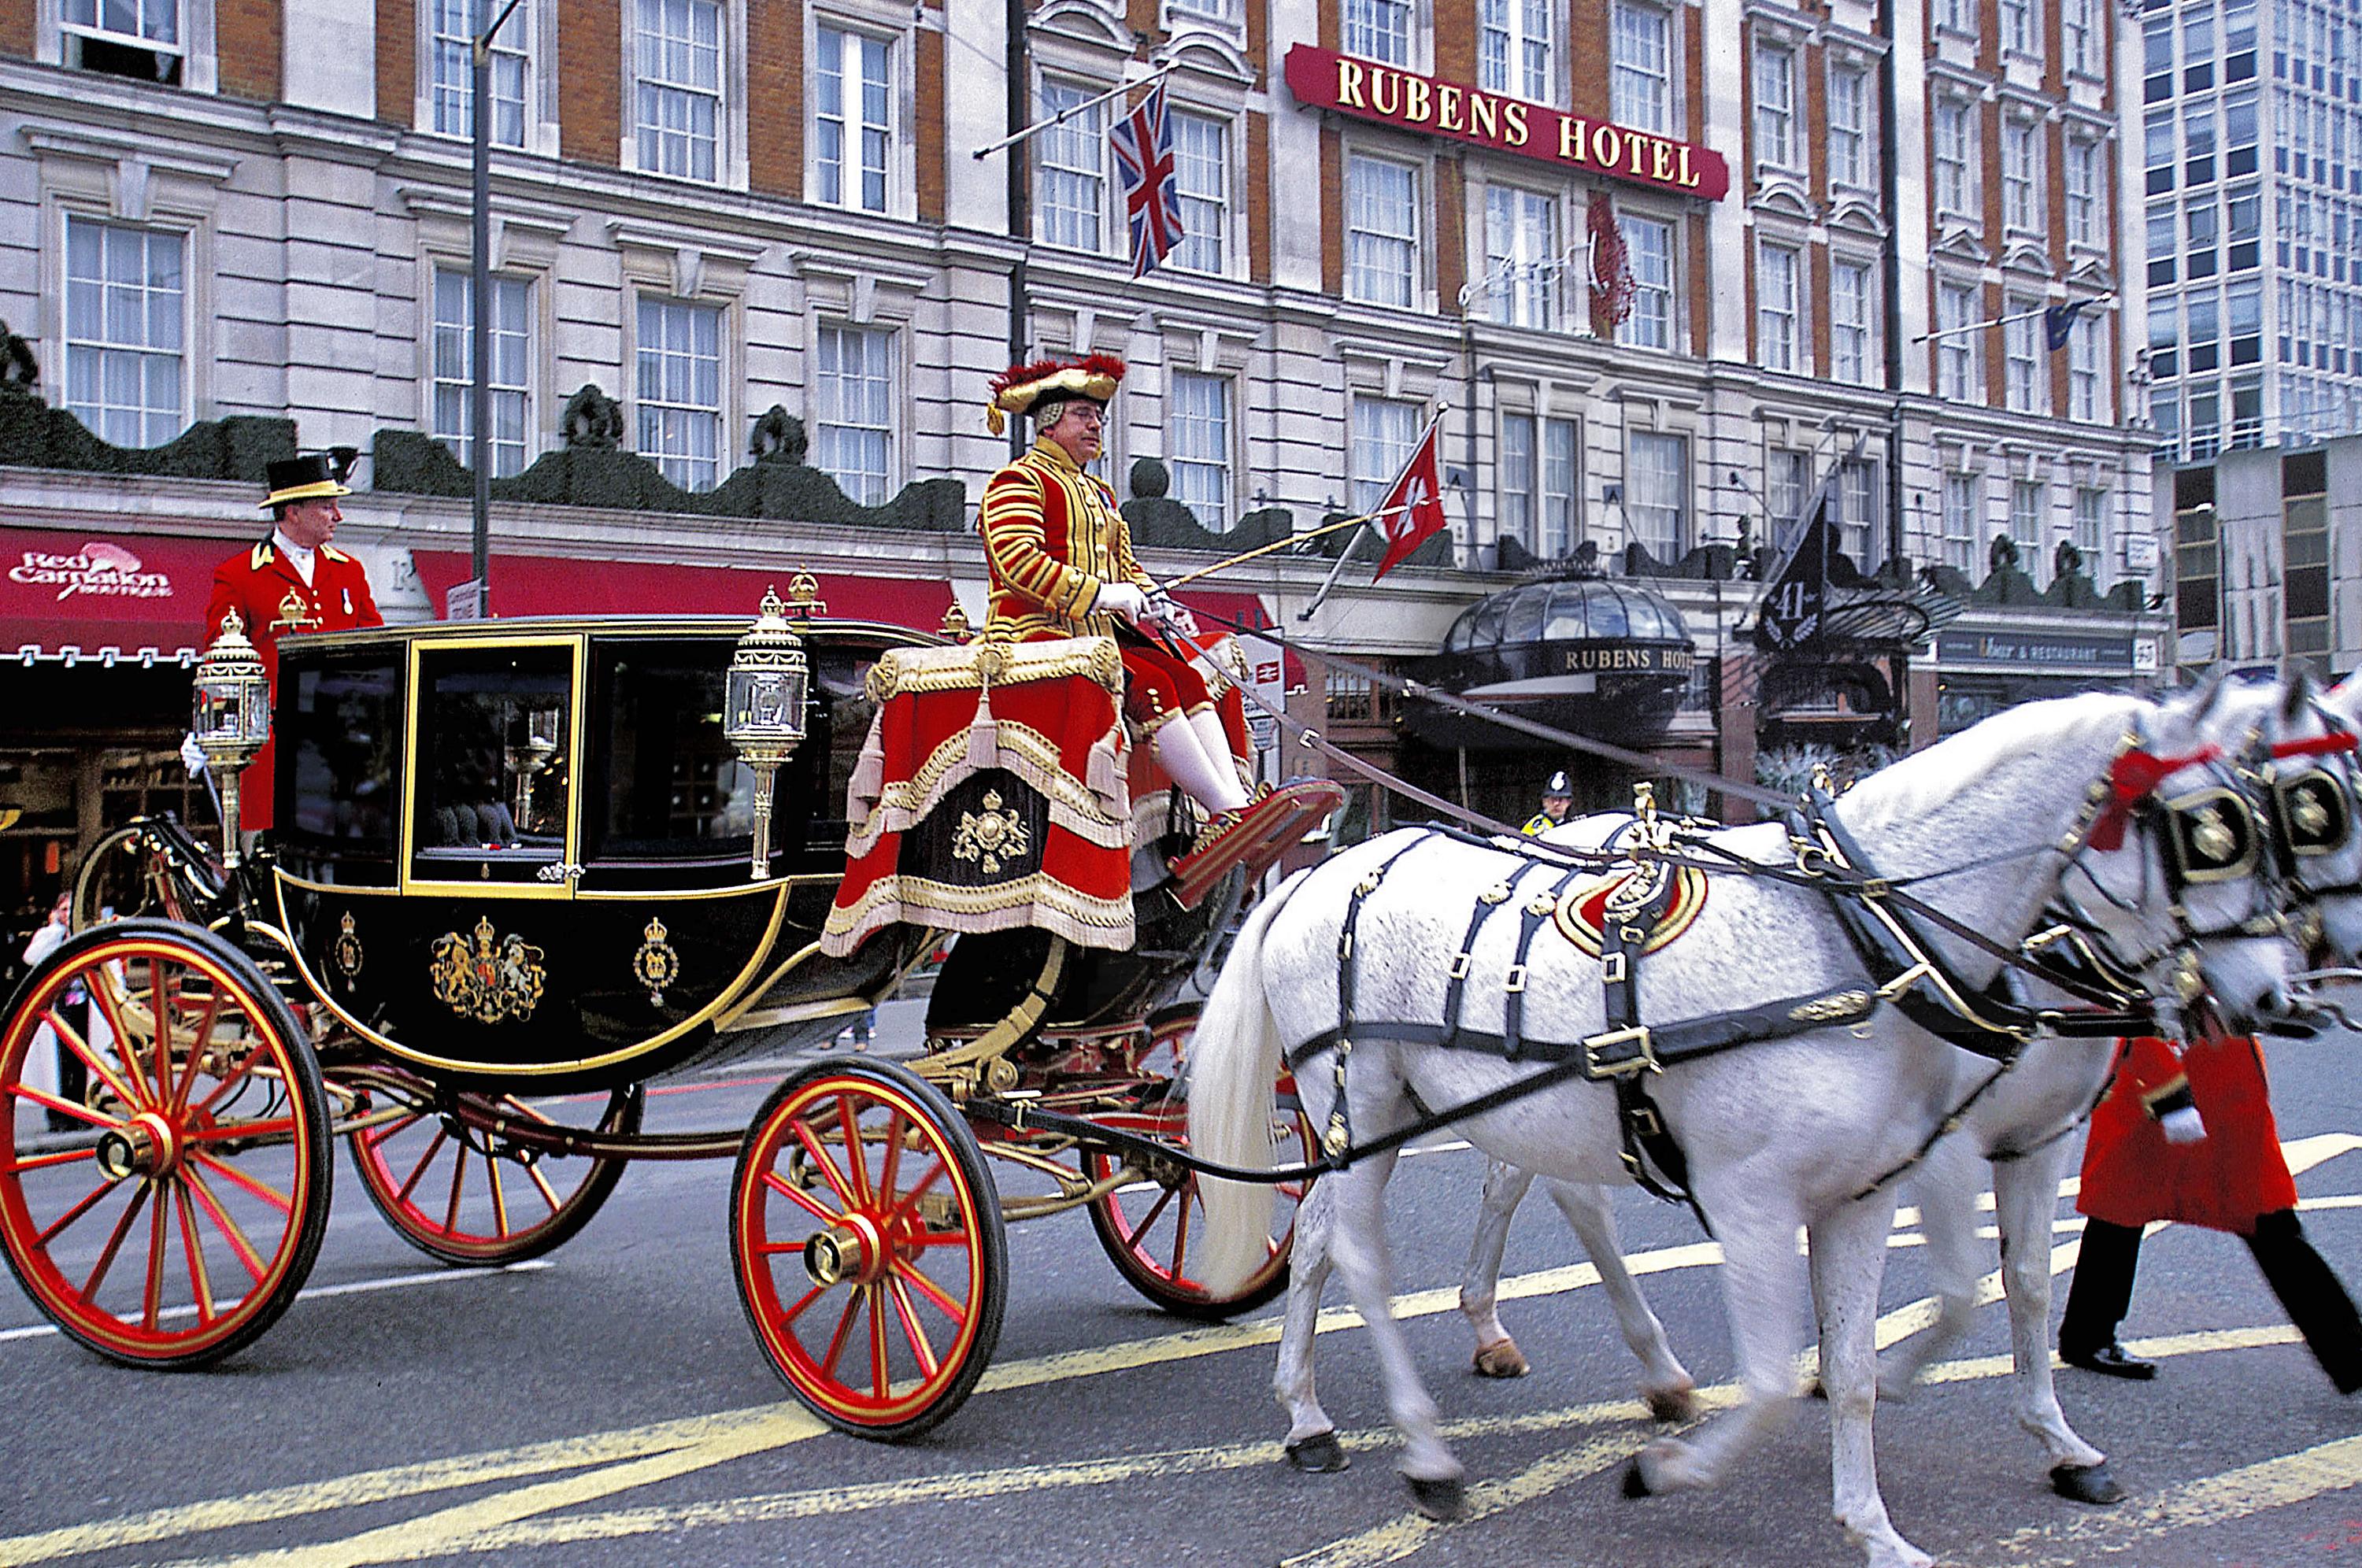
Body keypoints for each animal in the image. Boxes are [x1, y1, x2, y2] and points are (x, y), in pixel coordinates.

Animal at [1190, 694, 2296, 1568]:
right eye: (2208, 834)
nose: (2272, 997)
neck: (1869, 944)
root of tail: (1321, 873)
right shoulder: (1764, 1198)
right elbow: (1778, 1375)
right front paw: (1668, 1473)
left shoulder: (1883, 1187)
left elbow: (1875, 1357)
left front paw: (1878, 1523)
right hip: (1366, 1096)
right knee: (1363, 1255)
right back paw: (1422, 1451)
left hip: (1421, 1105)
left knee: (1338, 1235)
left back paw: (1317, 1411)